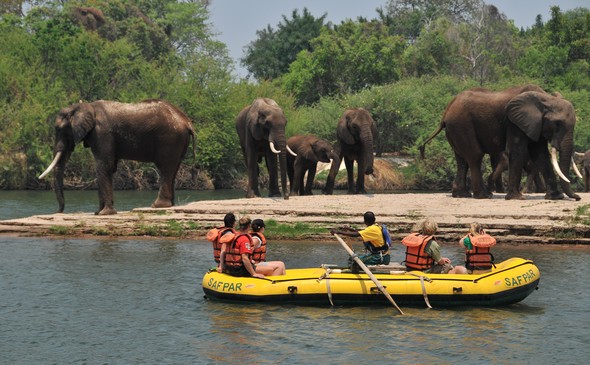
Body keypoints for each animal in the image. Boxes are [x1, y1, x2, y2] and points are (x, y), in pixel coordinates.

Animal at [39, 98, 197, 215]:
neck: (85, 106)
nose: (58, 212)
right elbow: (110, 167)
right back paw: (168, 205)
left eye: (59, 129)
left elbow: (104, 166)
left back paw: (157, 205)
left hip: (169, 139)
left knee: (165, 167)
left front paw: (104, 213)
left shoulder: (102, 133)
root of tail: (187, 122)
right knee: (173, 168)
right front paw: (98, 213)